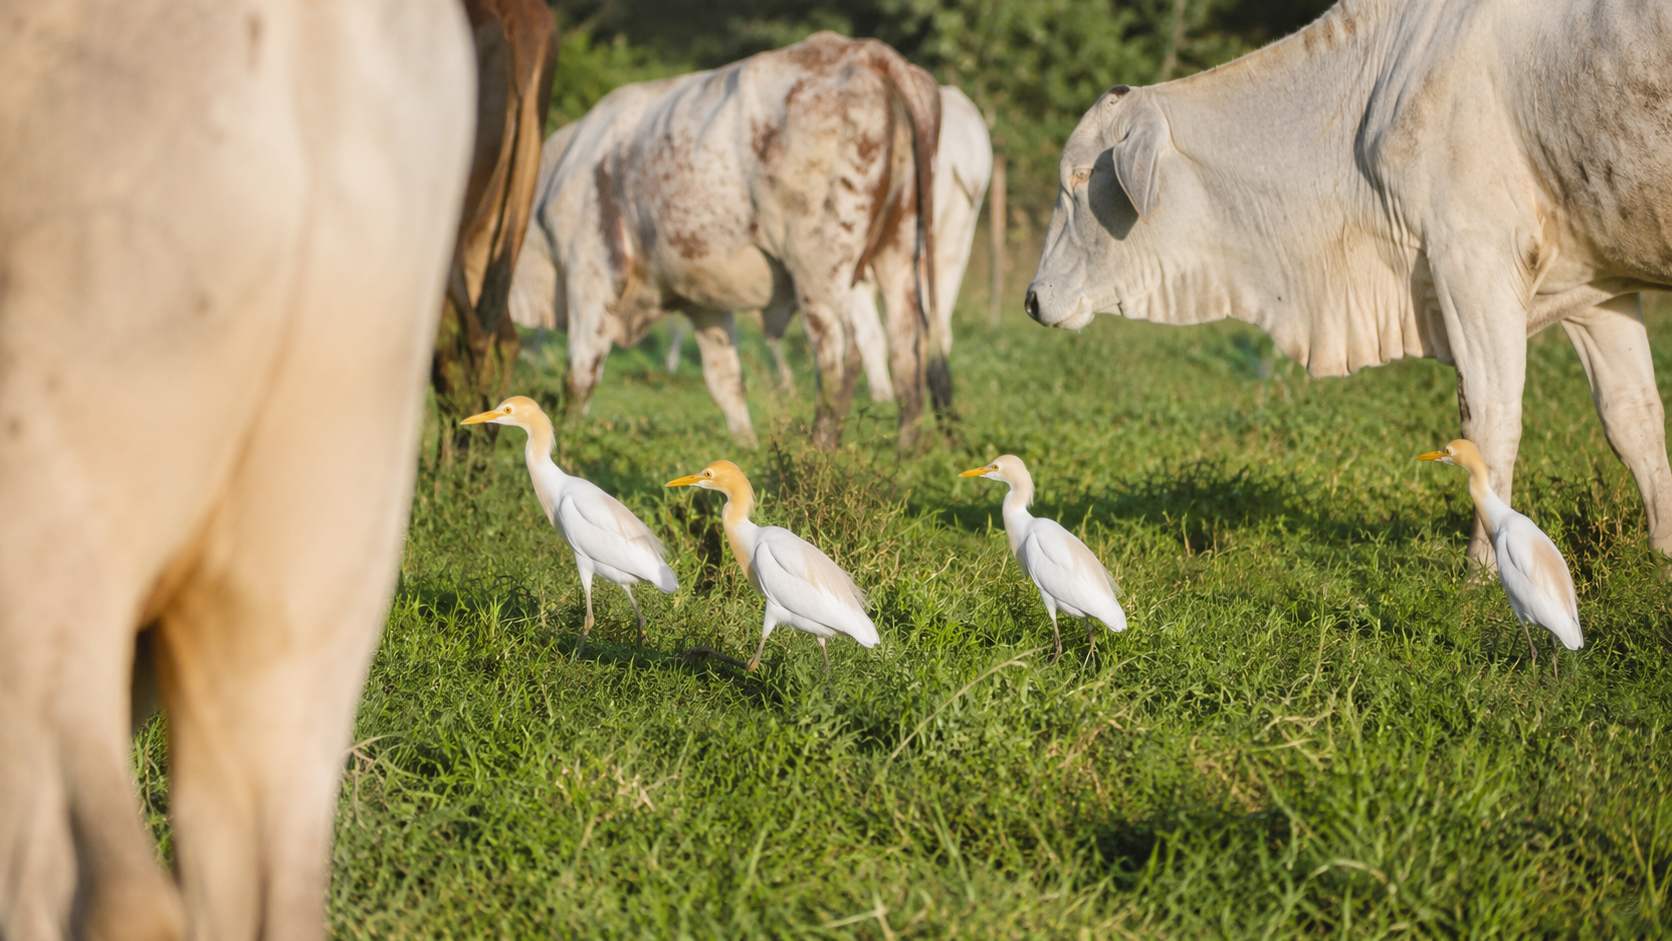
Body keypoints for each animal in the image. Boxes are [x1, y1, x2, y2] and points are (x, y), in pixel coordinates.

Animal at [511, 32, 940, 449]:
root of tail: (861, 51)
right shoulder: (704, 298)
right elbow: (726, 378)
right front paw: (745, 444)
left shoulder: (592, 273)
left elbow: (580, 374)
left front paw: (567, 436)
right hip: (897, 251)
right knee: (908, 345)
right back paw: (909, 449)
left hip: (819, 267)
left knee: (841, 353)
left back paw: (820, 448)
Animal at [1027, 0, 1672, 572]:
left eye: (1081, 177)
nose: (1032, 299)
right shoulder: (1596, 288)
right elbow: (1634, 423)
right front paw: (1663, 560)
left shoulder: (1474, 258)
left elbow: (1489, 426)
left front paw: (1483, 573)